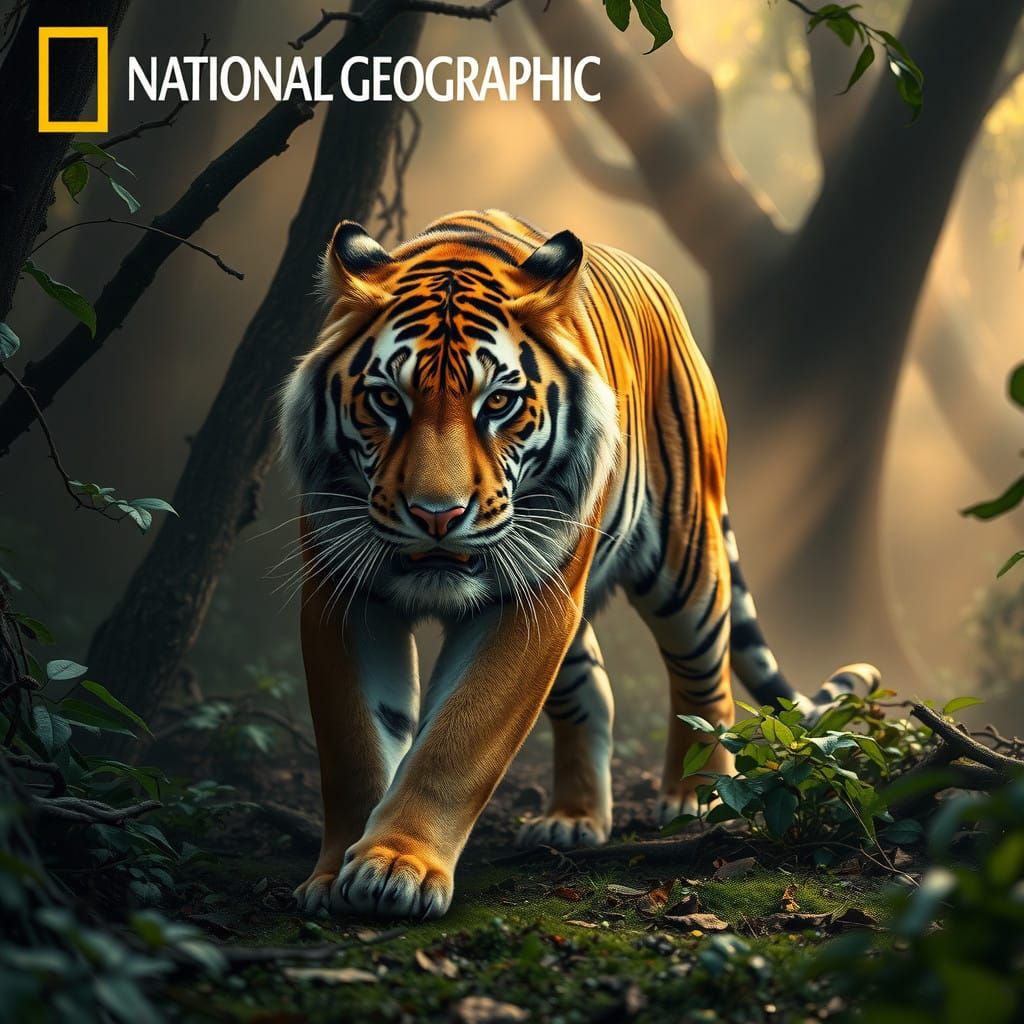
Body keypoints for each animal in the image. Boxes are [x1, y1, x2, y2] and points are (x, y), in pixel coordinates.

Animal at [280, 209, 879, 920]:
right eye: (388, 400)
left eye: (498, 403)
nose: (437, 515)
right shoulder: (341, 594)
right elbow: (353, 744)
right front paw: (330, 876)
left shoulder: (529, 596)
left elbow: (459, 739)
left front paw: (398, 865)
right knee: (591, 686)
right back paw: (573, 818)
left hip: (685, 567)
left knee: (707, 682)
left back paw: (699, 796)